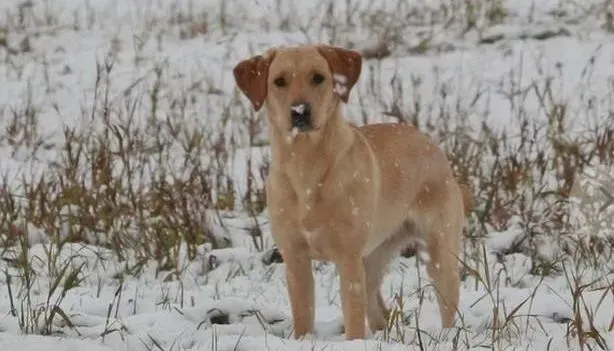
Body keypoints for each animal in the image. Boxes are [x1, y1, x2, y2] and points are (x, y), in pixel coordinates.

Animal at [233, 44, 474, 340]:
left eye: (318, 77)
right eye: (279, 81)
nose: (300, 111)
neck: (307, 169)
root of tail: (433, 146)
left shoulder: (348, 258)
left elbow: (354, 320)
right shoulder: (295, 258)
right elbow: (303, 315)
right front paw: (303, 340)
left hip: (439, 253)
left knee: (447, 306)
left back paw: (447, 337)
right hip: (373, 257)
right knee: (379, 309)